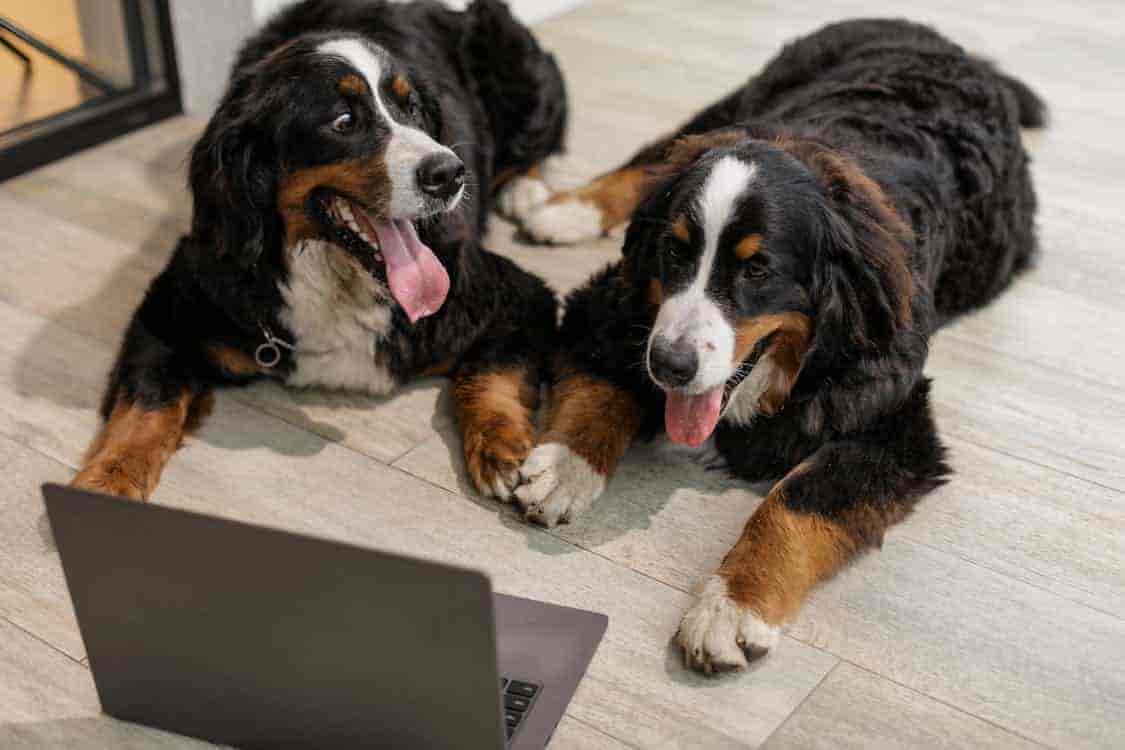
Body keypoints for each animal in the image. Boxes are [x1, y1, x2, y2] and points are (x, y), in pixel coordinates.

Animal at [68, 1, 571, 503]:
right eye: (343, 121)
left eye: (412, 108)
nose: (450, 173)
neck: (337, 278)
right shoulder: (167, 312)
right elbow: (145, 407)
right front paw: (107, 480)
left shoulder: (517, 295)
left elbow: (489, 373)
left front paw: (501, 446)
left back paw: (527, 193)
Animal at [501, 19, 1044, 674]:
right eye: (674, 250)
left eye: (757, 270)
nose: (670, 365)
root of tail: (945, 42)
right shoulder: (608, 308)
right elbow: (603, 391)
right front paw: (566, 467)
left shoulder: (894, 423)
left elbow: (796, 500)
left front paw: (732, 606)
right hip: (735, 106)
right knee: (651, 160)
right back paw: (563, 209)